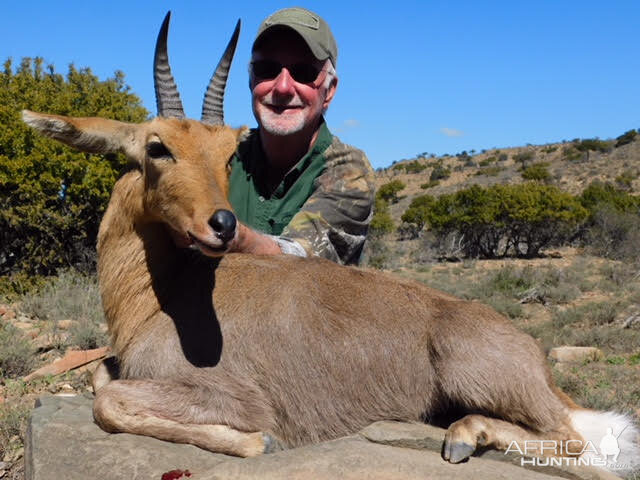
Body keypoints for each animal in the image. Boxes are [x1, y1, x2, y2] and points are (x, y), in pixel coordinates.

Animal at [22, 12, 636, 472]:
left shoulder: (232, 395)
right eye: (157, 147)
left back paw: (464, 435)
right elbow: (100, 378)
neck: (161, 296)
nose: (222, 224)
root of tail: (534, 360)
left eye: (227, 154)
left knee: (572, 439)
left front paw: (258, 442)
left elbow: (109, 400)